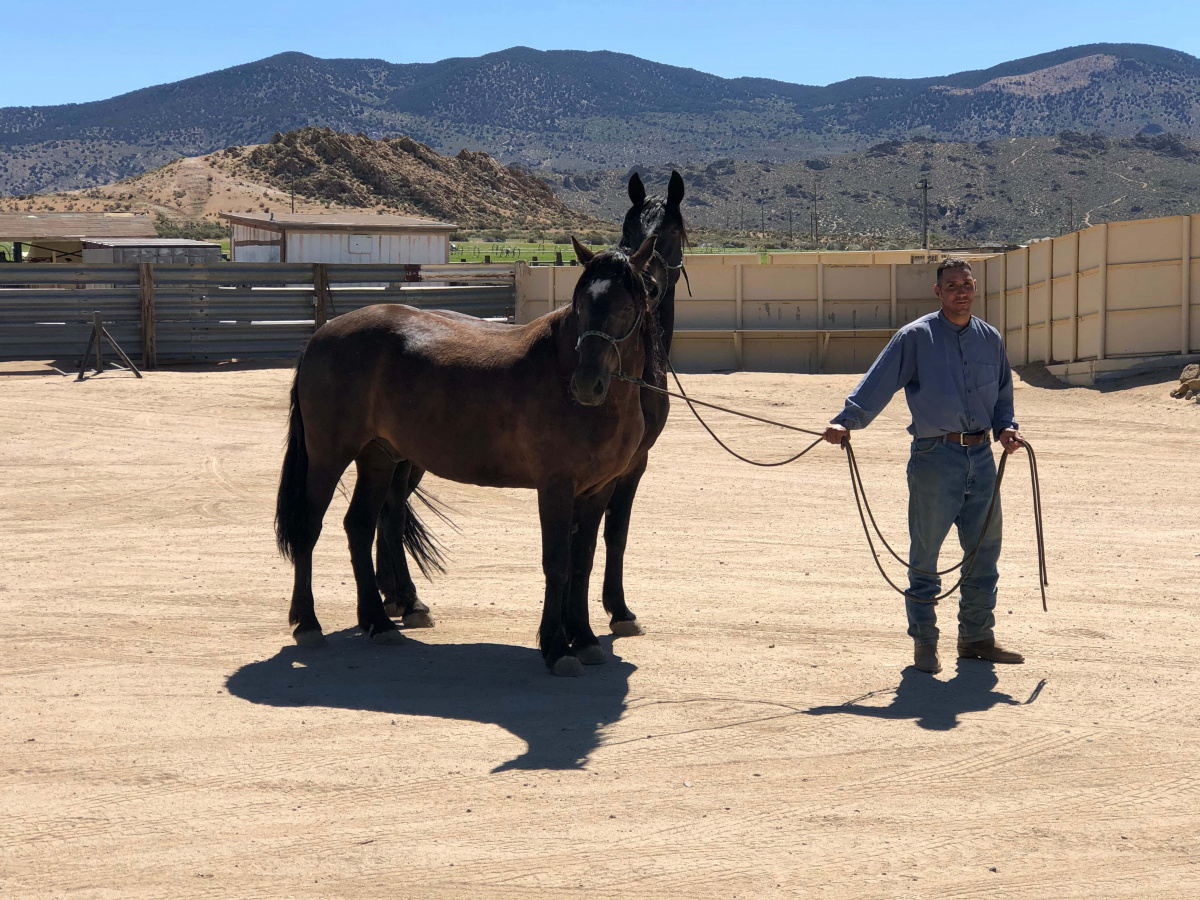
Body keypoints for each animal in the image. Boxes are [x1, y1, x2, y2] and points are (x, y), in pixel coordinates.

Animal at [274, 236, 662, 672]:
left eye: (627, 306)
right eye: (581, 306)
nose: (586, 384)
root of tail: (323, 334)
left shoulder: (599, 489)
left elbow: (583, 560)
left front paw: (584, 638)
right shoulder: (556, 488)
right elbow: (557, 561)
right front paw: (557, 647)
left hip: (379, 458)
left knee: (359, 525)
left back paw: (379, 621)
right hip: (328, 456)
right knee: (309, 527)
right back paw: (309, 624)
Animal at [379, 170, 691, 643]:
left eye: (670, 230)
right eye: (629, 228)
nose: (649, 286)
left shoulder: (630, 465)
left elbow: (608, 536)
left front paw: (602, 614)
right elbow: (597, 538)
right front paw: (597, 617)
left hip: (408, 456)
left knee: (390, 511)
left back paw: (401, 598)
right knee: (389, 511)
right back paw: (404, 600)